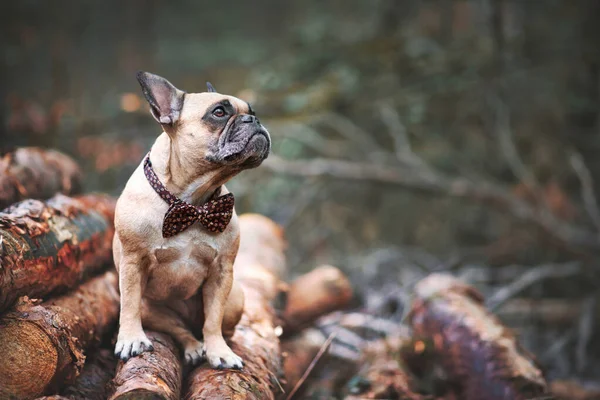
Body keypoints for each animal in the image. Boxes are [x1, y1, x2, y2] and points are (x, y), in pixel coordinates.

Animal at [112, 72, 270, 368]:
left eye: (253, 112)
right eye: (219, 112)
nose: (253, 120)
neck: (193, 202)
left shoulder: (222, 271)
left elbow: (213, 320)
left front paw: (219, 351)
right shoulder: (132, 263)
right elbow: (129, 306)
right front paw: (131, 339)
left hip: (236, 297)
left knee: (210, 325)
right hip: (152, 308)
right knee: (178, 328)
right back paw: (193, 347)